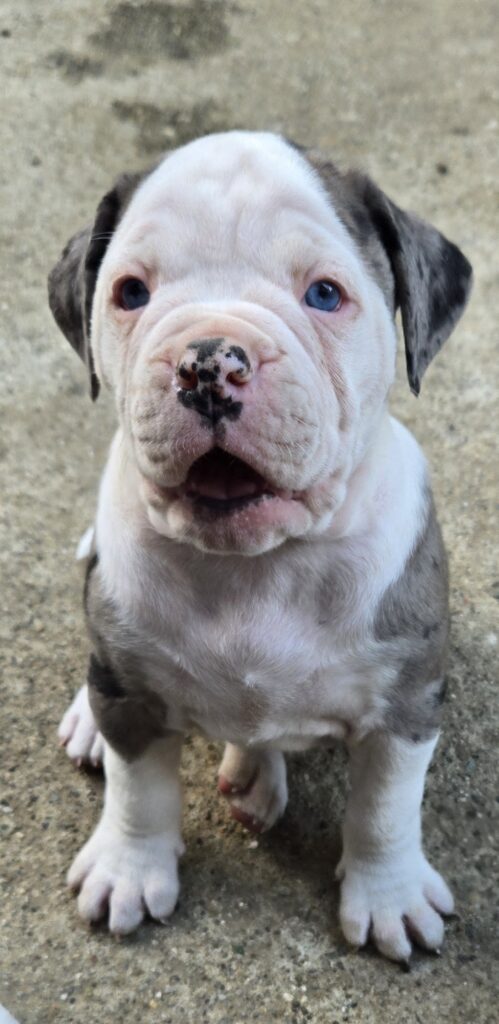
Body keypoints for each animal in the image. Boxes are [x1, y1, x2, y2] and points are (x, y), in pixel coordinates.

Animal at [48, 131, 472, 963]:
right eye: (130, 293)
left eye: (325, 295)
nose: (209, 360)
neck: (256, 564)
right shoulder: (131, 697)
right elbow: (139, 792)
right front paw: (127, 868)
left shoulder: (405, 703)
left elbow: (384, 808)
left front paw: (389, 895)